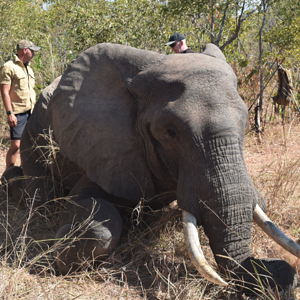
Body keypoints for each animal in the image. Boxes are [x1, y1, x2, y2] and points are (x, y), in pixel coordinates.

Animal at [2, 42, 300, 296]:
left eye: (245, 119)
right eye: (170, 132)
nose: (280, 272)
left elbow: (258, 201)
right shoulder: (109, 148)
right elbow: (95, 217)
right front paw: (62, 245)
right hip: (33, 130)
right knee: (39, 194)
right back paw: (11, 183)